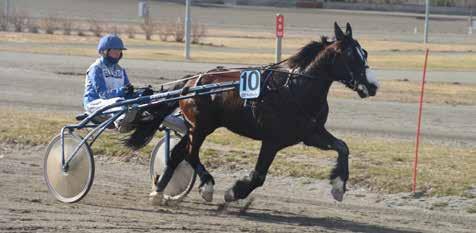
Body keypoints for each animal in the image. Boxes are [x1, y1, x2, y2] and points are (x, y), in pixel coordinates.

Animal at [126, 21, 380, 204]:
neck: (295, 88)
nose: (373, 86)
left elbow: (343, 147)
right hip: (200, 127)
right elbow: (258, 175)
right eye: (351, 56)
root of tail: (191, 82)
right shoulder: (272, 140)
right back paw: (206, 185)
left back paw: (159, 191)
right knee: (190, 153)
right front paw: (234, 192)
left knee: (179, 153)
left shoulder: (310, 133)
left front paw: (338, 187)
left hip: (196, 127)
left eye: (365, 53)